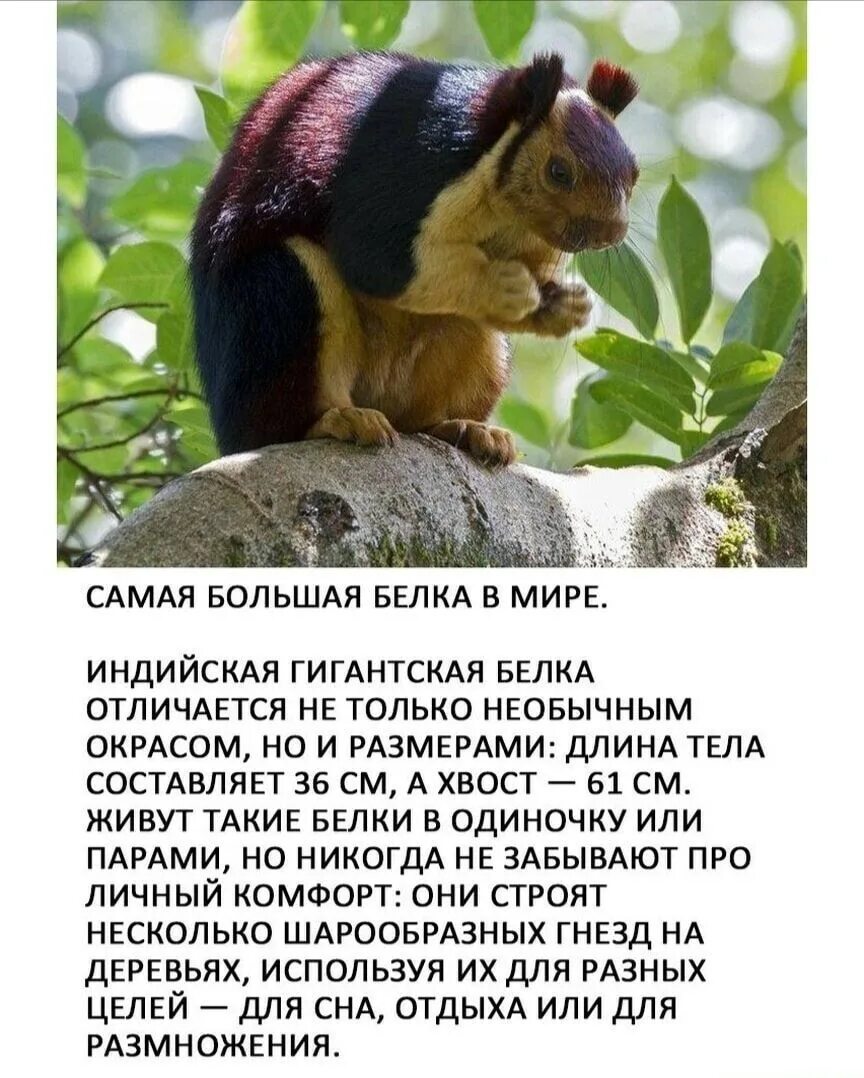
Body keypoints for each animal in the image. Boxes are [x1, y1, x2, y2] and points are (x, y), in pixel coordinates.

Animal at [190, 50, 639, 468]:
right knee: (275, 423)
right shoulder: (407, 163)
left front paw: (563, 306)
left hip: (476, 363)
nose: (611, 232)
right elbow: (374, 258)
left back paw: (465, 429)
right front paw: (506, 288)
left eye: (633, 174)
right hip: (277, 302)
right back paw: (335, 421)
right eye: (559, 172)